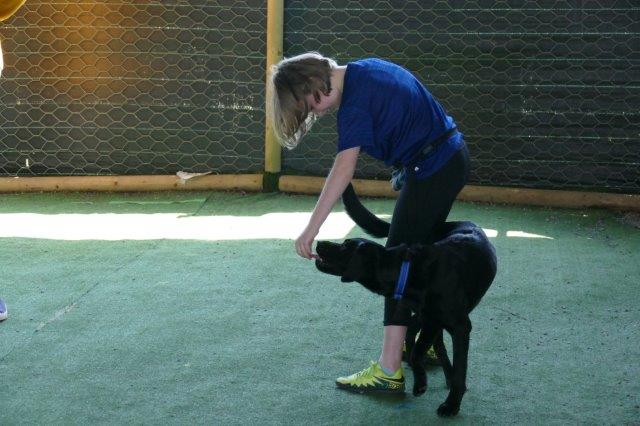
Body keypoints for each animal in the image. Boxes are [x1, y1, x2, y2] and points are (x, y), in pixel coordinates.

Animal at [314, 183, 497, 417]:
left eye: (346, 246)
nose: (319, 242)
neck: (408, 270)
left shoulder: (460, 326)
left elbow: (451, 364)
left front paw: (451, 404)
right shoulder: (428, 319)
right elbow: (416, 349)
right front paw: (421, 382)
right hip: (425, 318)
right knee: (428, 341)